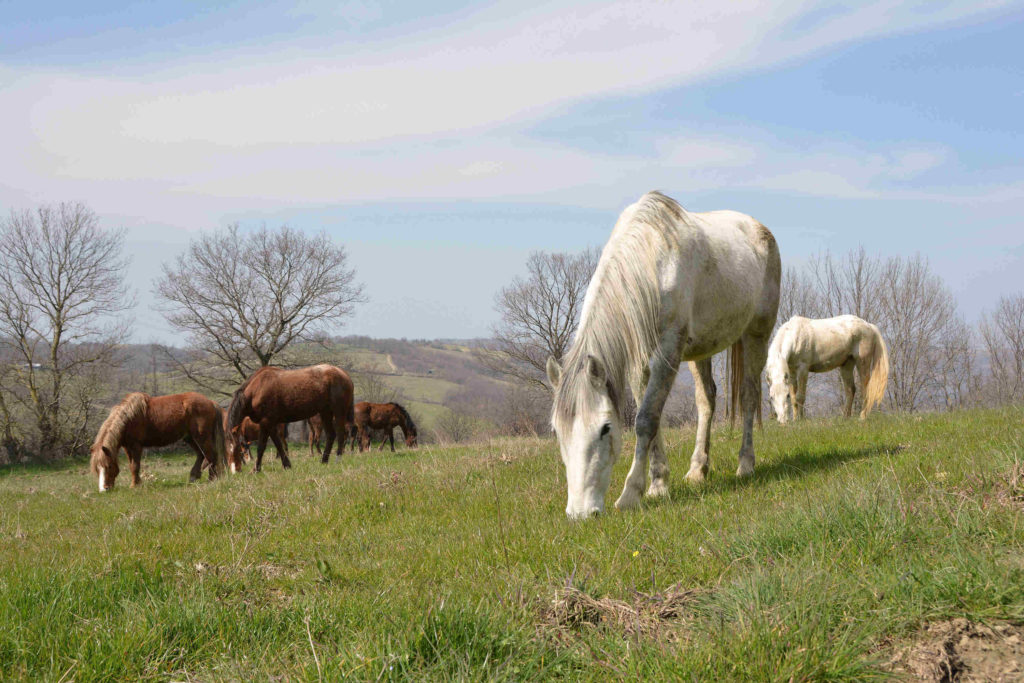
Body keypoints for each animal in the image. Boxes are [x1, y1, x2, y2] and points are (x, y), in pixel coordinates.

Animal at [89, 389, 226, 491]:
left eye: (109, 466)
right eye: (97, 469)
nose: (105, 489)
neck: (128, 418)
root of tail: (211, 402)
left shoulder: (136, 446)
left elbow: (135, 466)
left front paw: (135, 485)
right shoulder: (127, 447)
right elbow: (131, 465)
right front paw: (135, 483)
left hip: (201, 437)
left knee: (211, 456)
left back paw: (212, 479)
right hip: (190, 438)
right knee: (201, 455)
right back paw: (194, 477)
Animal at [226, 366, 354, 473]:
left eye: (238, 450)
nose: (235, 470)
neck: (256, 389)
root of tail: (345, 375)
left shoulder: (267, 422)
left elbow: (265, 447)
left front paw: (258, 469)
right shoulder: (268, 425)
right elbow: (273, 445)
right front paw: (283, 465)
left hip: (339, 412)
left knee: (341, 435)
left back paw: (337, 459)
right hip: (325, 413)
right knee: (331, 435)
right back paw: (324, 461)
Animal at [548, 192, 778, 518]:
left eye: (605, 429)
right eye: (557, 431)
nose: (581, 513)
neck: (651, 262)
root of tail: (760, 228)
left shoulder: (668, 351)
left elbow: (646, 419)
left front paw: (631, 493)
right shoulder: (639, 363)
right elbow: (651, 419)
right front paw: (658, 484)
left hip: (756, 335)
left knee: (748, 396)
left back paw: (745, 465)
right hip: (701, 349)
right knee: (706, 399)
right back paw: (697, 470)